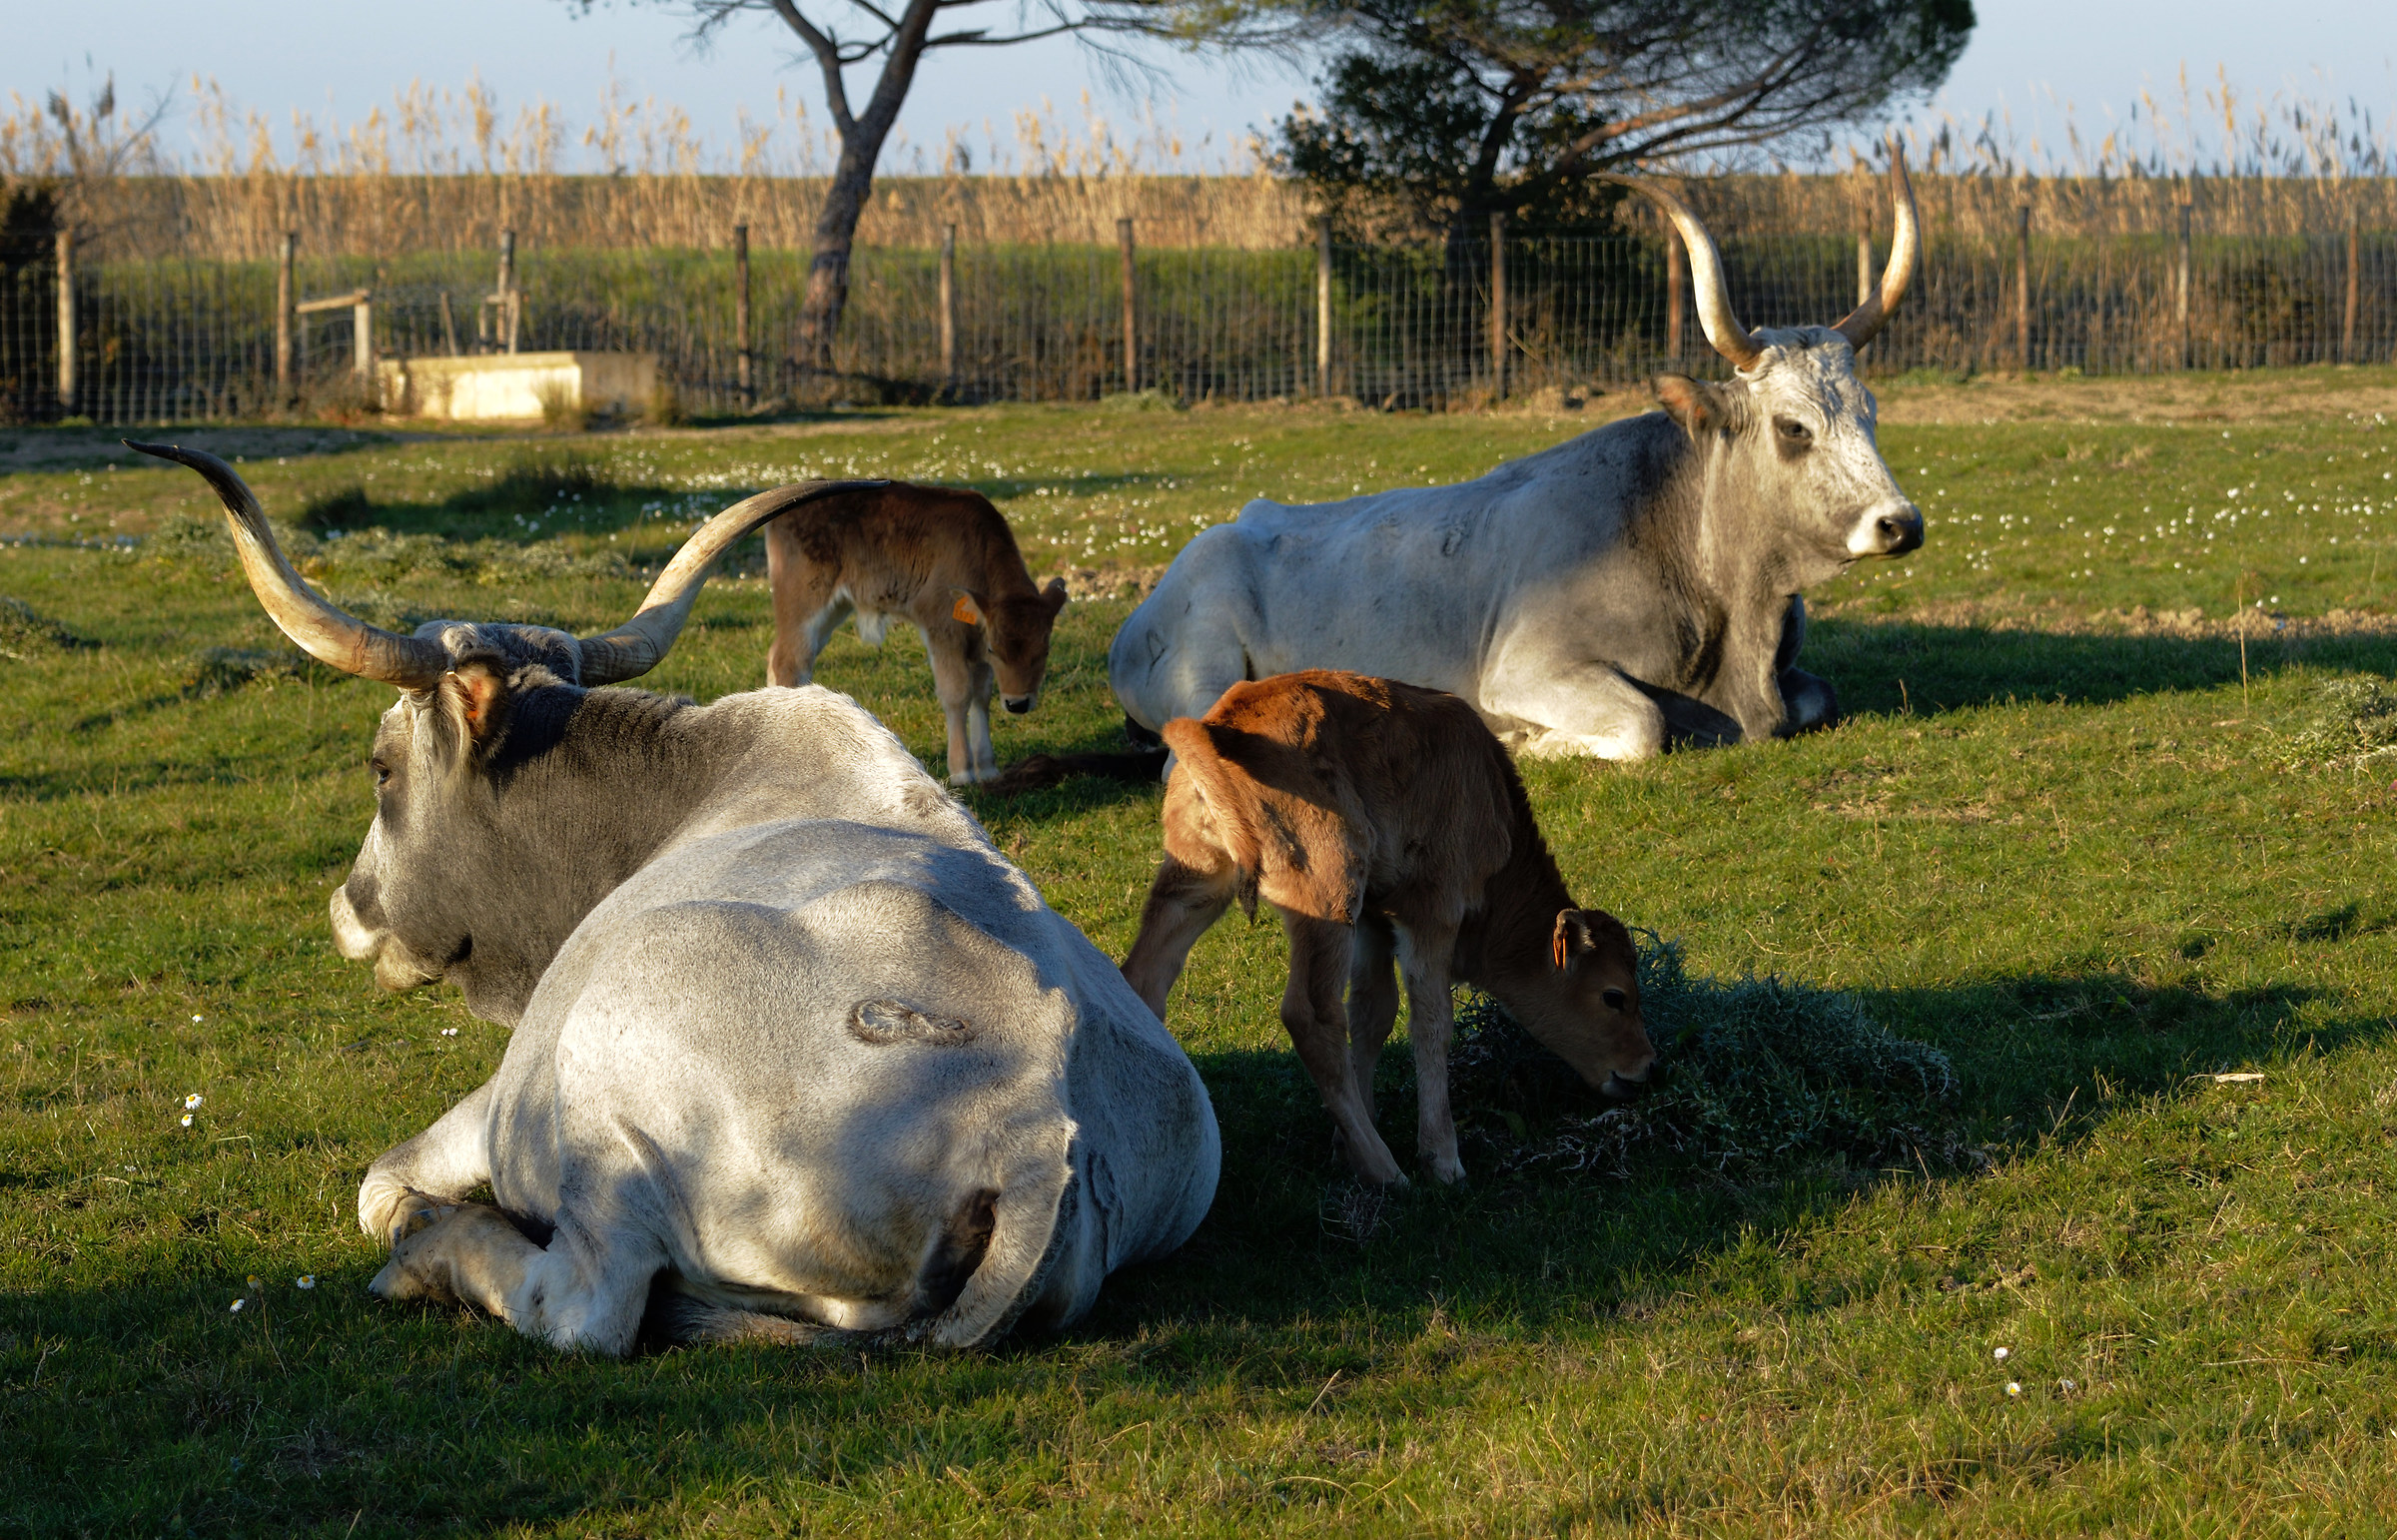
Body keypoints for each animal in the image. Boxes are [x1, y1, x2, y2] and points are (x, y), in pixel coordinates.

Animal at [763, 481, 1068, 786]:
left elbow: (982, 695)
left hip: (834, 609)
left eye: (1045, 650)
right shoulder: (942, 630)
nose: (1018, 703)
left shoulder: (977, 643)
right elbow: (957, 694)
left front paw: (988, 768)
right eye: (996, 648)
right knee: (789, 662)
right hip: (804, 603)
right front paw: (962, 771)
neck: (975, 552)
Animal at [1109, 150, 1927, 762]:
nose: (1902, 523)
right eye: (1794, 428)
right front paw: (1528, 743)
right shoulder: (1527, 670)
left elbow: (1817, 697)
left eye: (1870, 413)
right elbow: (1643, 725)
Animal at [1118, 670, 1653, 1187]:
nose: (1647, 1067)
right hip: (1328, 893)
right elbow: (1431, 1022)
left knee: (1144, 979)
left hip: (1197, 882)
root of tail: (1219, 722)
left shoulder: (1374, 921)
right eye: (1615, 996)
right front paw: (1441, 1159)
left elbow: (1373, 1013)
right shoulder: (1432, 913)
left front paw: (1346, 1142)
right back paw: (1387, 1171)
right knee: (1310, 1014)